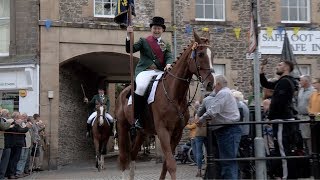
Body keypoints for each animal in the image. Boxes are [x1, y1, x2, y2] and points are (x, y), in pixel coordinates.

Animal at [115, 30, 215, 179]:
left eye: (212, 55)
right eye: (201, 54)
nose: (210, 84)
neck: (174, 95)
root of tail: (124, 91)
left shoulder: (177, 133)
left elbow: (166, 164)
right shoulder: (163, 131)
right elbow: (172, 165)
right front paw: (129, 32)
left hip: (142, 132)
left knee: (132, 154)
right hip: (122, 127)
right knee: (123, 159)